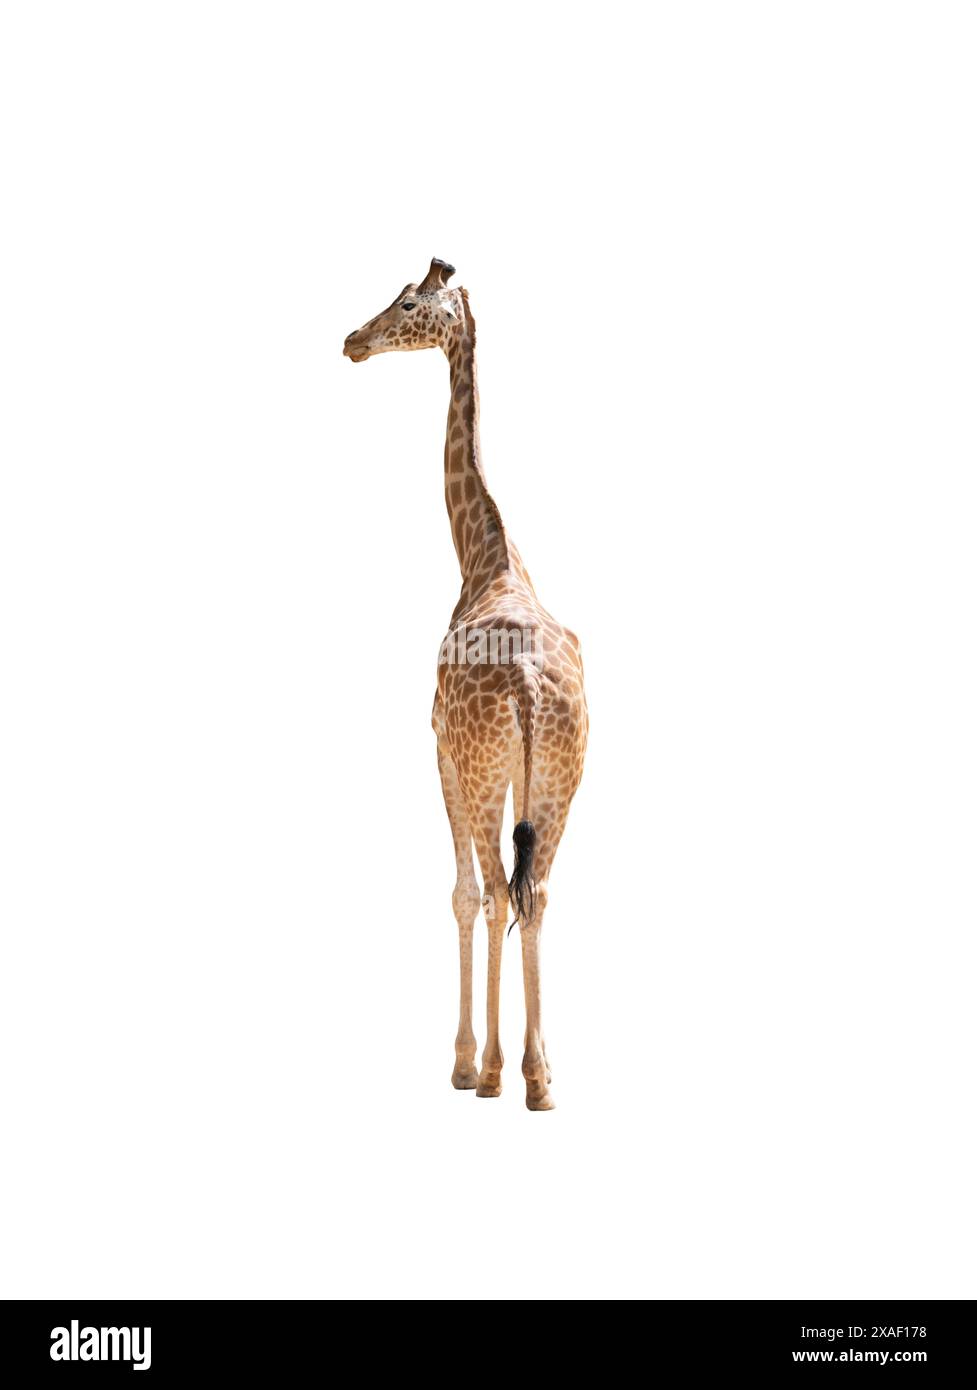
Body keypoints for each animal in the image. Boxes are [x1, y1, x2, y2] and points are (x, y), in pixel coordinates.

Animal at [343, 258, 588, 1110]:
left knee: (495, 892)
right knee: (536, 892)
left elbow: (460, 893)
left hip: (486, 774)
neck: (487, 555)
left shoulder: (442, 753)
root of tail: (529, 688)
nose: (352, 340)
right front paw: (507, 1064)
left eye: (406, 303)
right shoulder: (512, 777)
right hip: (561, 779)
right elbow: (500, 893)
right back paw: (540, 1078)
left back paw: (492, 1073)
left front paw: (463, 1062)